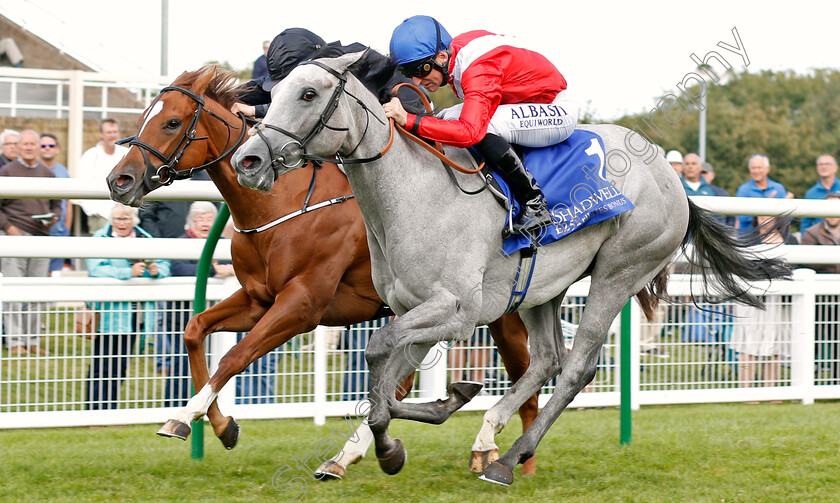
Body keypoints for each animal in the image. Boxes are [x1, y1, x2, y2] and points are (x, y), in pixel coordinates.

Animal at [108, 67, 540, 476]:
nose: (118, 180)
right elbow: (194, 330)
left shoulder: (303, 305)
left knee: (524, 377)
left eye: (172, 123)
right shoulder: (257, 299)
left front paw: (185, 416)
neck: (283, 203)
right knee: (408, 384)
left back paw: (511, 459)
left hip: (500, 311)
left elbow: (235, 356)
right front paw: (220, 425)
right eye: (145, 117)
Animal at [228, 52, 788, 488]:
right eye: (273, 92)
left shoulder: (456, 311)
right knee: (546, 359)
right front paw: (430, 413)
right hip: (544, 288)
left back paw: (510, 459)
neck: (412, 197)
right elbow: (391, 379)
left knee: (577, 366)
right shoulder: (414, 308)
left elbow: (380, 356)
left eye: (307, 93)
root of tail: (673, 178)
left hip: (620, 269)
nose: (248, 161)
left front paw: (396, 439)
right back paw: (490, 434)